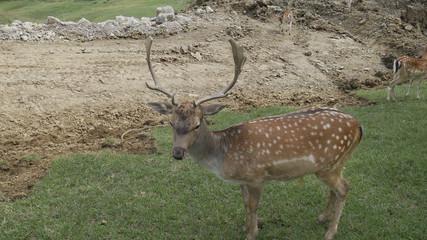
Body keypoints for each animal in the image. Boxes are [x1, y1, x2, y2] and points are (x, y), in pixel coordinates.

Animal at [145, 36, 362, 240]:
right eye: (170, 123)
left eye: (197, 124)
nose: (178, 153)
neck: (223, 154)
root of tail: (358, 126)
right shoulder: (243, 180)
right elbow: (245, 203)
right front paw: (245, 227)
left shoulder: (257, 175)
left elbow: (254, 205)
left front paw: (252, 233)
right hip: (332, 165)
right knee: (336, 189)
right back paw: (322, 218)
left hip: (330, 163)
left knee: (344, 187)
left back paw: (331, 232)